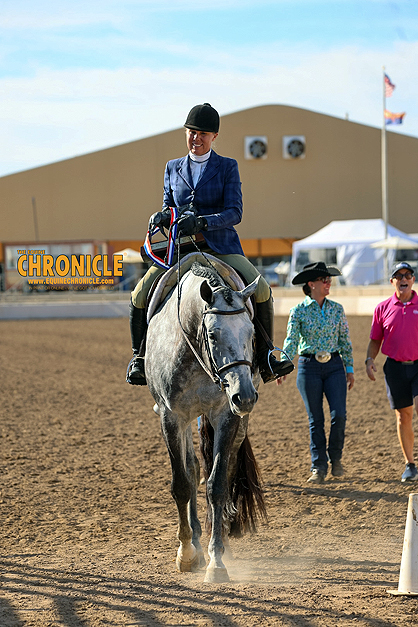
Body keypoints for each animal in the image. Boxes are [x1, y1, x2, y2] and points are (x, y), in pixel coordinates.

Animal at [145, 254, 267, 583]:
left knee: (225, 469)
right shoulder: (172, 417)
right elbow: (182, 483)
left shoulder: (226, 415)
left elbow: (217, 484)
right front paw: (187, 552)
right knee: (191, 468)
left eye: (252, 332)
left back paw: (219, 537)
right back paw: (198, 541)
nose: (245, 396)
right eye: (212, 333)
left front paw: (217, 561)